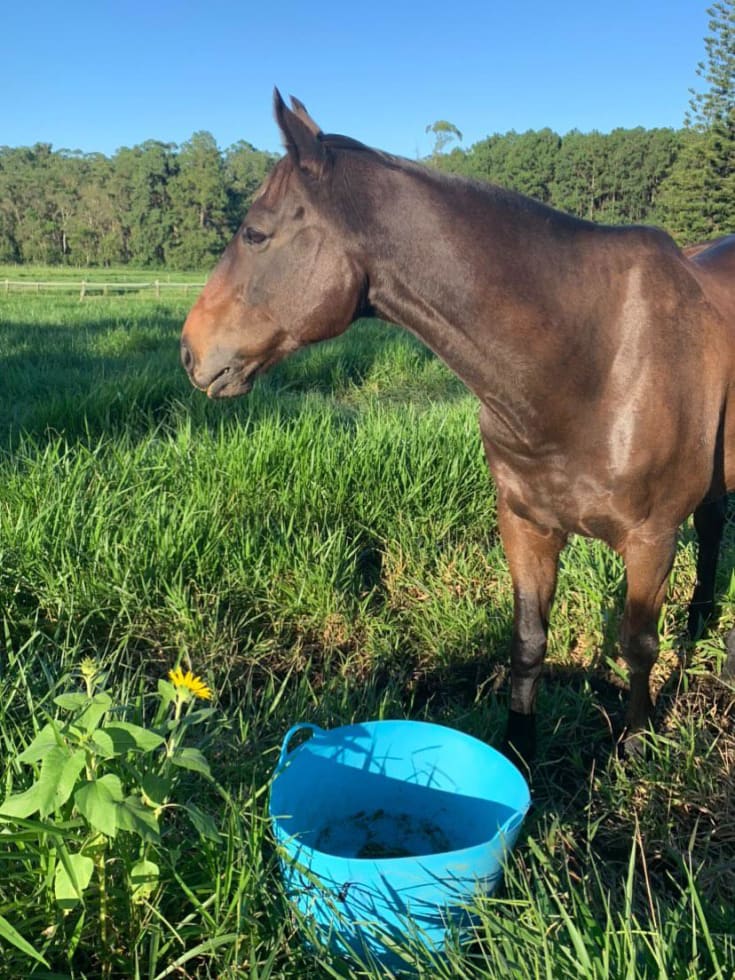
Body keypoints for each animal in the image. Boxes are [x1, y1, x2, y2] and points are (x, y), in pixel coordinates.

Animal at [181, 94, 735, 764]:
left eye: (256, 234)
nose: (189, 351)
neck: (593, 358)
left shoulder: (651, 539)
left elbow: (637, 645)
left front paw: (634, 742)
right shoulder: (525, 525)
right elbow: (528, 640)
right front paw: (518, 746)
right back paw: (701, 618)